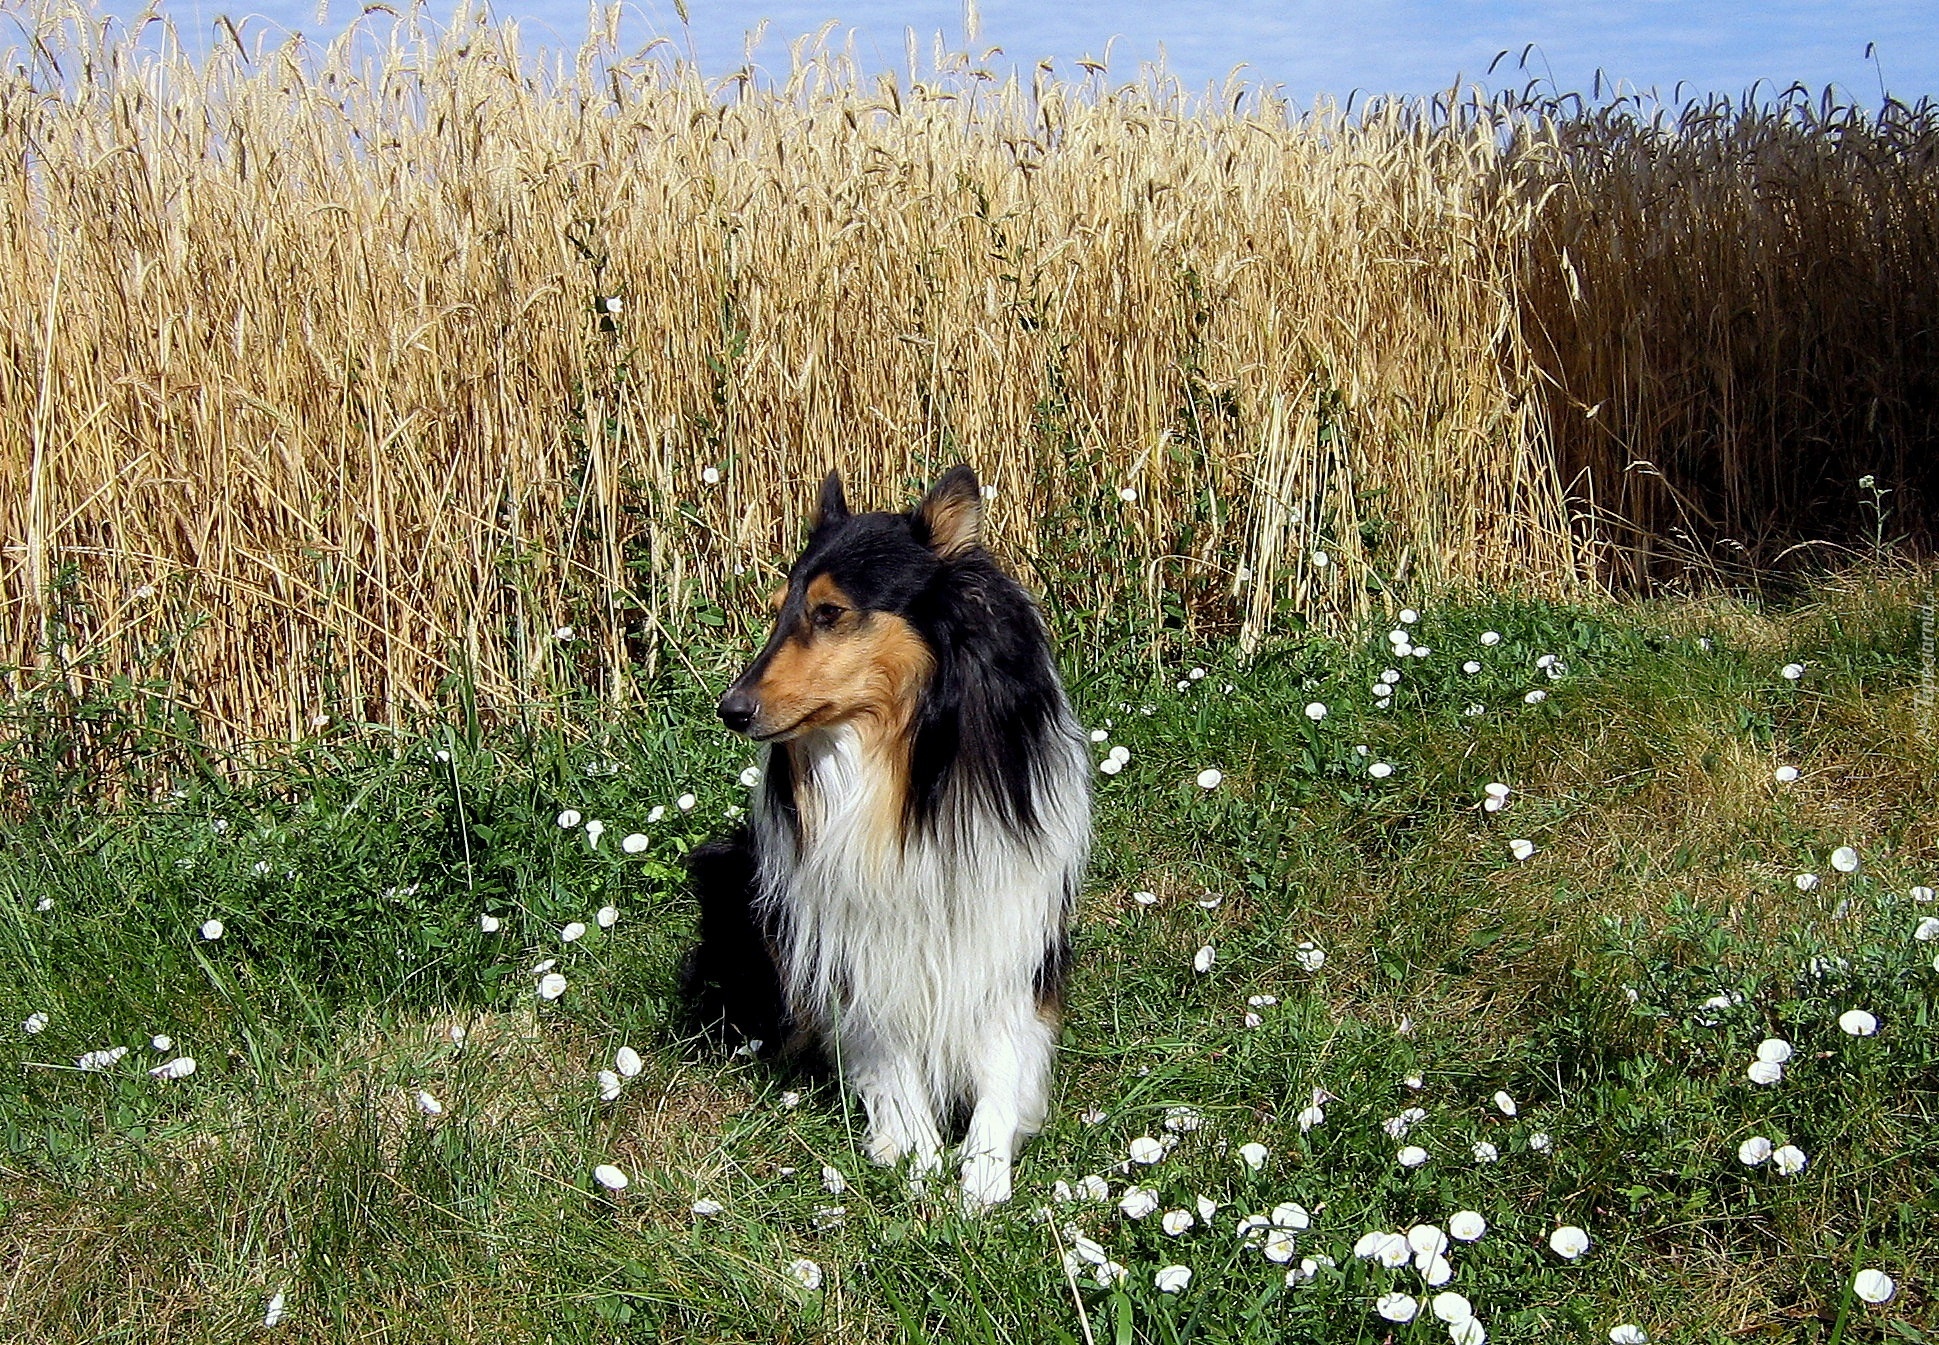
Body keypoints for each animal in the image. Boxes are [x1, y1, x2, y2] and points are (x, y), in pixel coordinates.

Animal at [686, 463, 1093, 1209]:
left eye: (828, 613)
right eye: (779, 610)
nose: (731, 709)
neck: (902, 769)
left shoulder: (1009, 928)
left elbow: (1002, 1062)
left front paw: (982, 1171)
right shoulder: (858, 941)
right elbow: (889, 1057)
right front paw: (919, 1158)